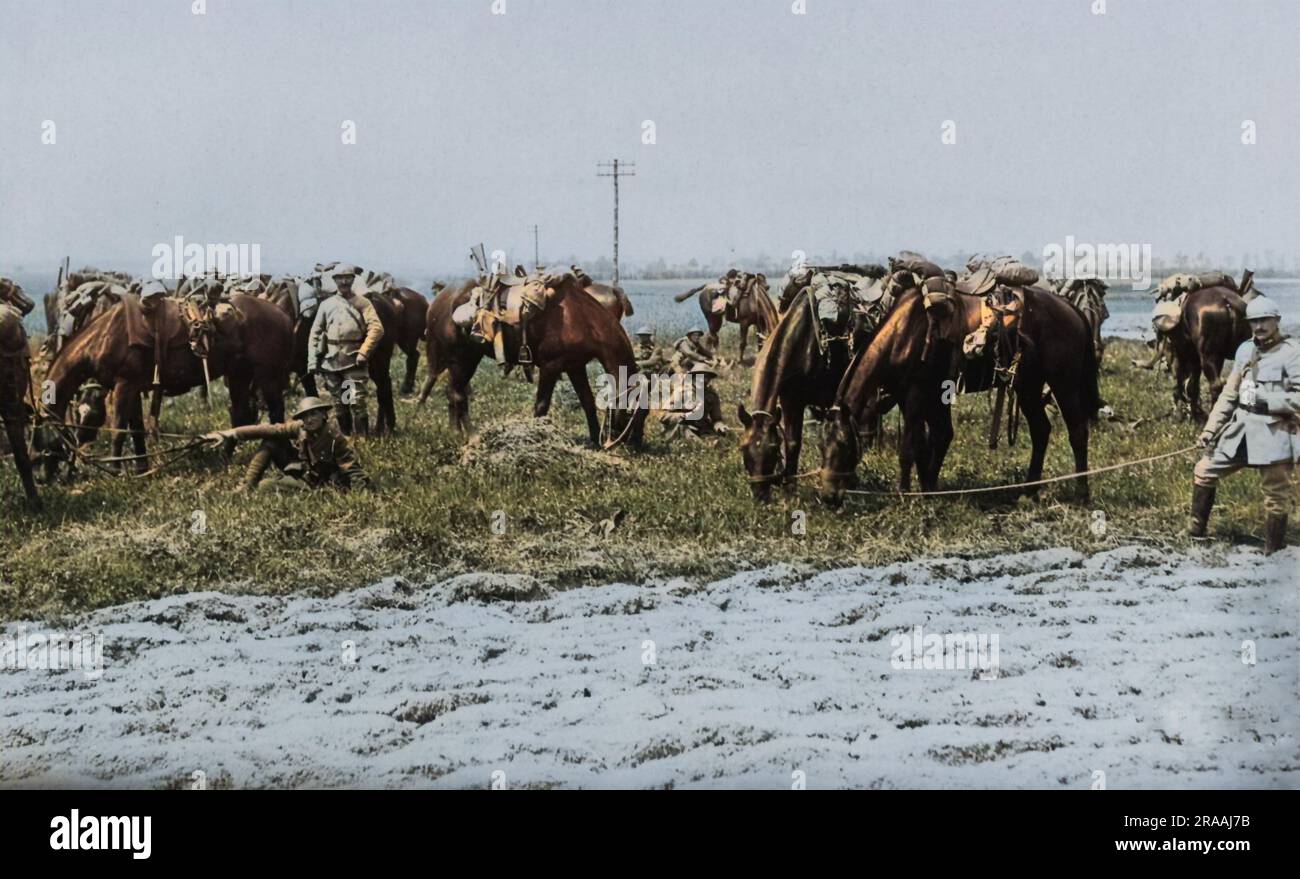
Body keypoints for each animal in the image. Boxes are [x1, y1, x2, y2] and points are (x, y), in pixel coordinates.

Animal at [45, 293, 292, 470]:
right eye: (78, 413)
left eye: (49, 437)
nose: (45, 477)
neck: (106, 334)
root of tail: (283, 315)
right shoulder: (133, 388)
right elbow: (136, 430)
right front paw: (141, 467)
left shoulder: (124, 385)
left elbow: (118, 429)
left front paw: (114, 469)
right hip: (239, 374)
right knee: (240, 415)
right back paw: (224, 456)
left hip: (267, 376)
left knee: (277, 414)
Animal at [421, 269, 650, 447]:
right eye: (634, 410)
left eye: (646, 412)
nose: (637, 445)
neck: (580, 318)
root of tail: (437, 303)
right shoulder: (551, 367)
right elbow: (541, 406)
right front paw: (535, 438)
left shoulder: (575, 367)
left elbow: (587, 402)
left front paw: (594, 441)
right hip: (461, 359)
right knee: (458, 395)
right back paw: (472, 436)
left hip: (462, 361)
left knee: (452, 392)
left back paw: (455, 433)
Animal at [821, 284, 1097, 504]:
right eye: (823, 445)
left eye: (844, 445)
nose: (828, 496)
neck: (904, 333)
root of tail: (1072, 309)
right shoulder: (929, 398)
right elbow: (933, 440)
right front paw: (928, 488)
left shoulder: (917, 395)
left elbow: (910, 446)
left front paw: (905, 493)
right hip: (1027, 385)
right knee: (1041, 430)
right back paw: (1028, 492)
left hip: (1063, 384)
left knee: (1077, 432)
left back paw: (1081, 493)